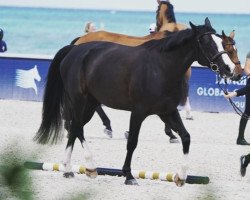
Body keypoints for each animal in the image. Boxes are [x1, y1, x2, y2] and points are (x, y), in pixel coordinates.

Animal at [34, 18, 241, 186]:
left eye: (222, 43)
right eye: (206, 42)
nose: (230, 70)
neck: (160, 68)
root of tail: (74, 49)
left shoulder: (167, 111)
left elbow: (186, 137)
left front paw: (181, 177)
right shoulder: (139, 112)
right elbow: (132, 141)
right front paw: (128, 175)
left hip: (90, 104)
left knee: (75, 128)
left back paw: (69, 169)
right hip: (79, 100)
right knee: (76, 127)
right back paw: (90, 166)